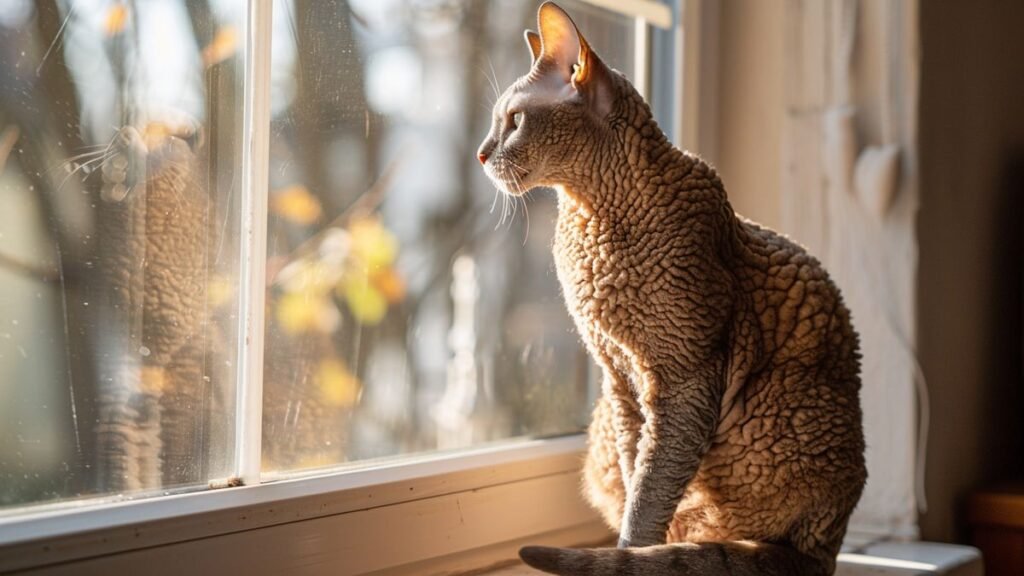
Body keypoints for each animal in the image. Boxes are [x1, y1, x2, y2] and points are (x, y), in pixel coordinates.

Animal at [479, 2, 864, 569]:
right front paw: (633, 551)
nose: (481, 155)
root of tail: (826, 548)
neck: (588, 219)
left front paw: (631, 553)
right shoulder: (620, 382)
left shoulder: (684, 380)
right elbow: (640, 478)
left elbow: (650, 493)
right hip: (604, 431)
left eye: (514, 121)